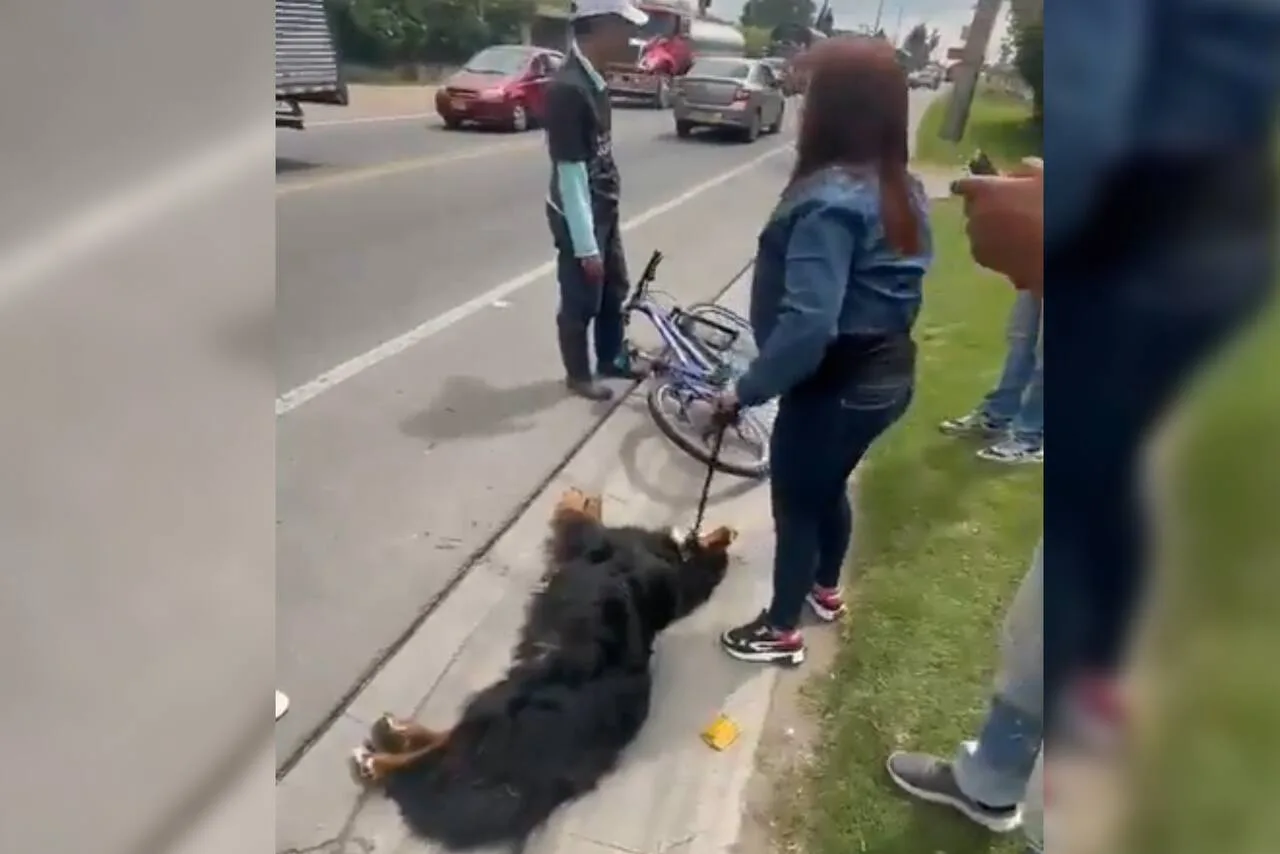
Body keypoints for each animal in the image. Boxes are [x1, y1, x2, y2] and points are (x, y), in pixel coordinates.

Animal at [350, 491, 737, 850]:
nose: (731, 531)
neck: (677, 565)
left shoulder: (594, 540)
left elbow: (582, 519)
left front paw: (578, 498)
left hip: (500, 699)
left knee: (443, 749)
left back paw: (378, 760)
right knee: (447, 743)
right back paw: (398, 734)